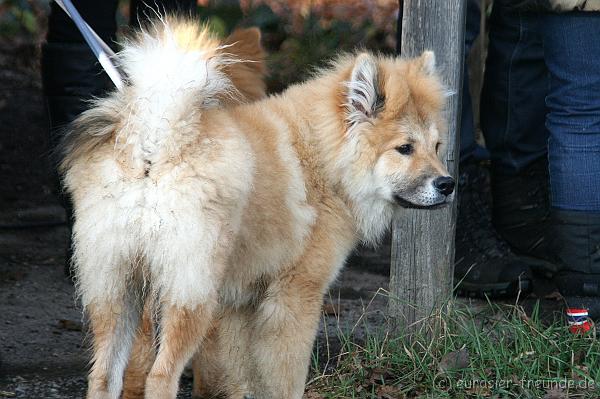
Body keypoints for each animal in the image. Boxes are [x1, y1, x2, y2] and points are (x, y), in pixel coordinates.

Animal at [61, 16, 454, 399]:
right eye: (404, 149)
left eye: (436, 147)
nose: (448, 184)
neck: (323, 161)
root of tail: (156, 140)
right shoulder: (296, 297)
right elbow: (286, 379)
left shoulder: (241, 305)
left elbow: (241, 377)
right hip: (190, 296)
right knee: (160, 377)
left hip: (117, 291)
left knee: (103, 377)